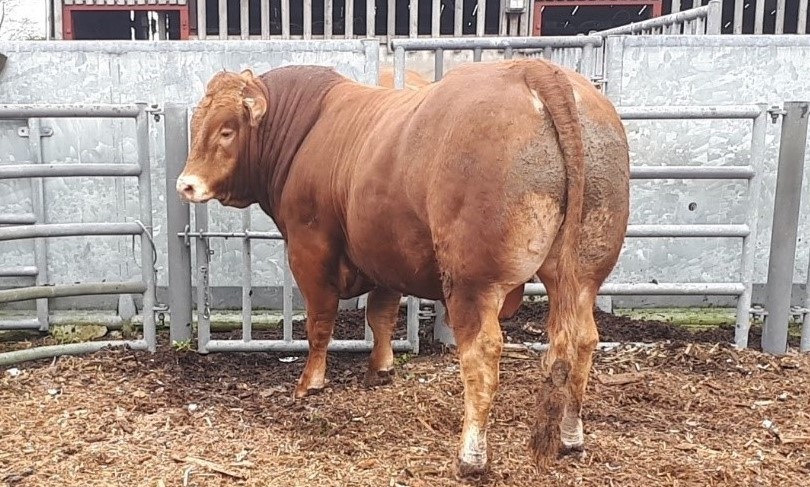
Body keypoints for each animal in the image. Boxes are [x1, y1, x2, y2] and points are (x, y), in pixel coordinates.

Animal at [175, 59, 630, 477]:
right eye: (198, 123)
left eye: (227, 129)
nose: (186, 184)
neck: (308, 130)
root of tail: (534, 68)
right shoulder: (384, 254)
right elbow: (381, 316)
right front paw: (381, 369)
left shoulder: (310, 249)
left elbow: (320, 322)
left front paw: (311, 382)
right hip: (584, 271)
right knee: (583, 340)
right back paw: (571, 437)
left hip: (473, 282)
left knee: (482, 353)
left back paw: (471, 457)